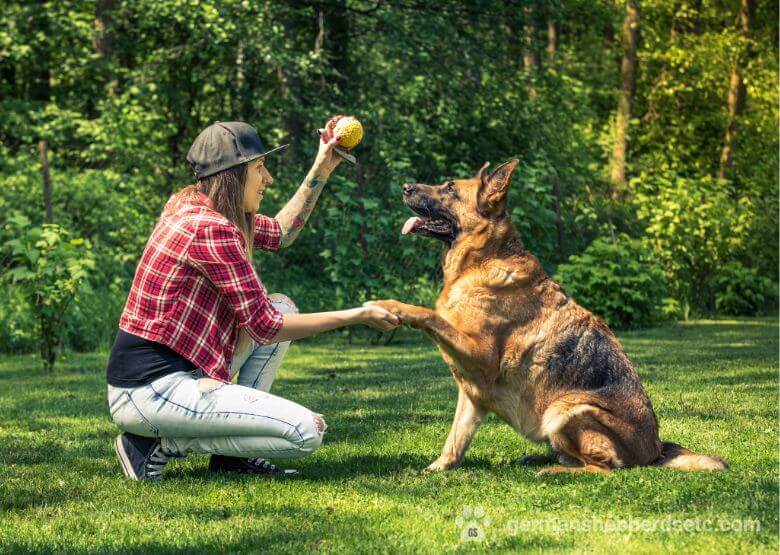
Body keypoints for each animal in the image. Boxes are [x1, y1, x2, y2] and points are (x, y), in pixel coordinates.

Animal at [372, 161, 724, 478]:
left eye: (449, 188)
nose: (405, 186)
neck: (483, 259)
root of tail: (656, 451)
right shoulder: (472, 394)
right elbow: (455, 440)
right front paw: (438, 468)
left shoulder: (480, 356)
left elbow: (429, 315)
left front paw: (390, 306)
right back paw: (540, 459)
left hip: (565, 410)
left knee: (603, 468)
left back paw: (553, 470)